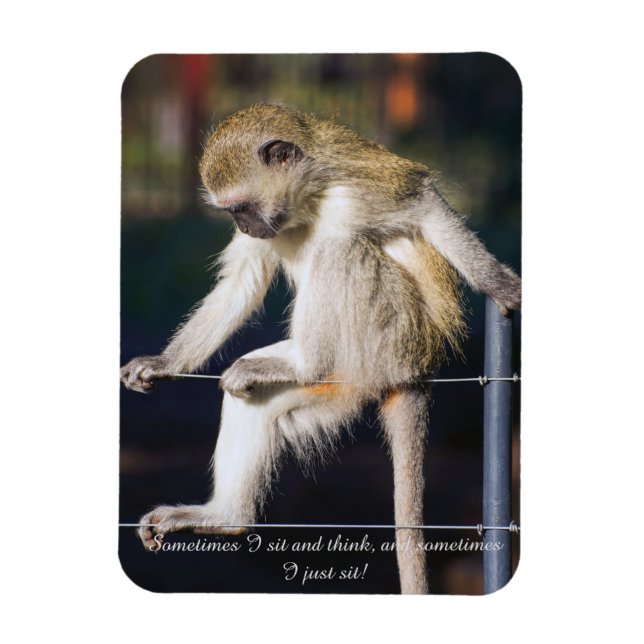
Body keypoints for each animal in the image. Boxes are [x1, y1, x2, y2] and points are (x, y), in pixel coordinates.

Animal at [120, 103, 521, 594]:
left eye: (242, 208)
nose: (244, 226)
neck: (308, 200)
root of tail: (419, 367)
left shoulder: (358, 189)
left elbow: (425, 205)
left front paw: (498, 282)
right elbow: (240, 284)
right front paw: (162, 363)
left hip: (388, 338)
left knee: (340, 249)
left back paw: (306, 362)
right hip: (350, 381)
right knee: (254, 398)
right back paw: (225, 516)